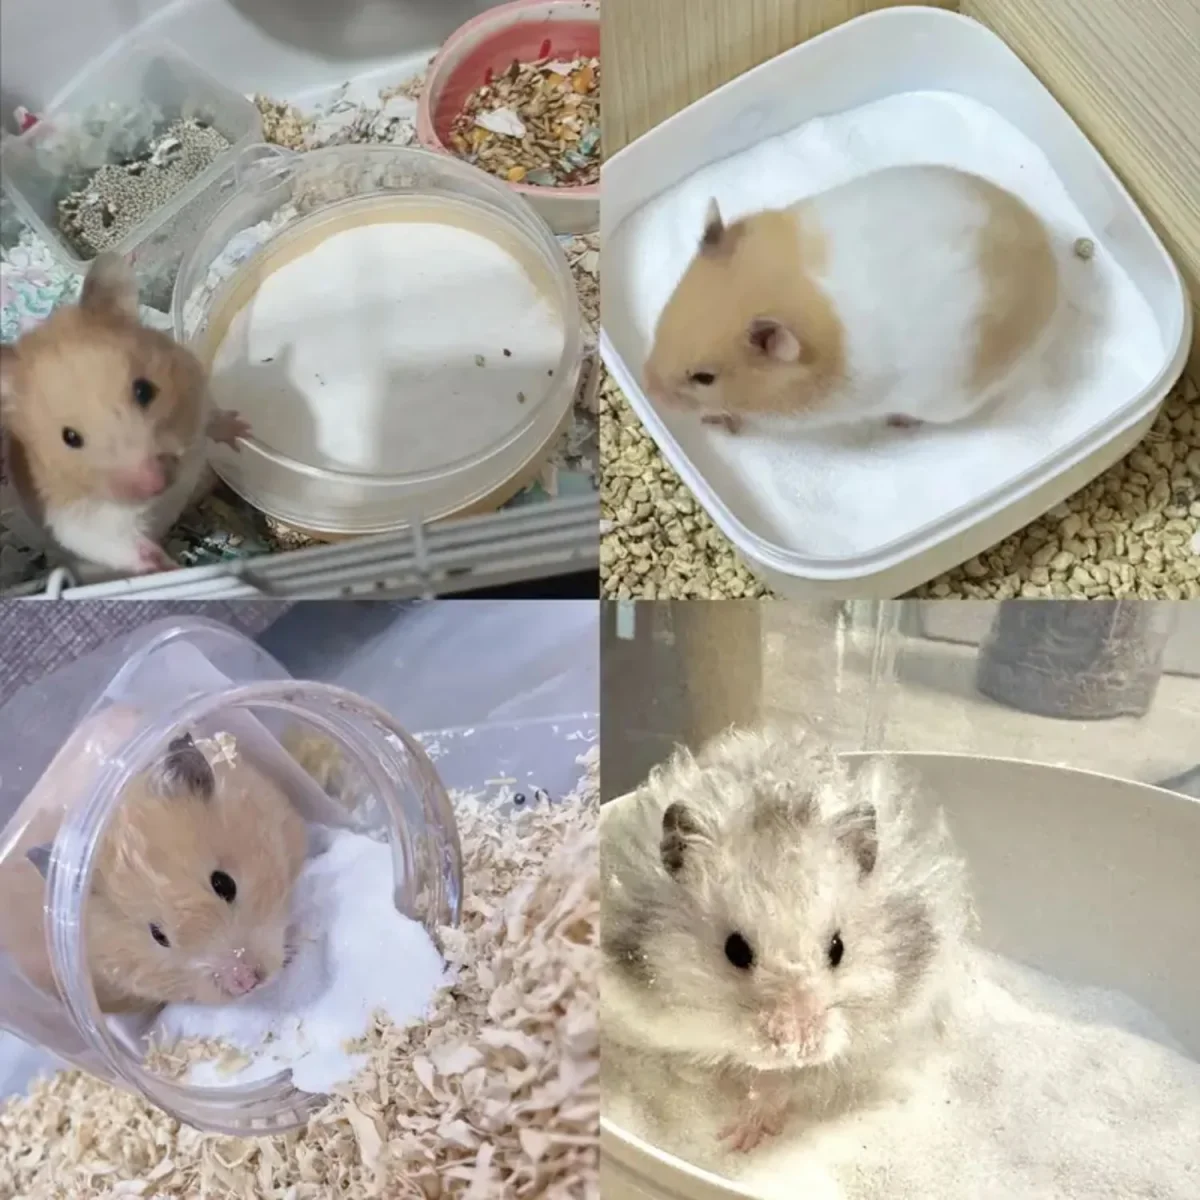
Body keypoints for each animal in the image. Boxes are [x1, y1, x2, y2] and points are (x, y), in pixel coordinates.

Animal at [0, 253, 251, 581]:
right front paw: (166, 566)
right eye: (70, 438)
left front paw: (243, 430)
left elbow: (211, 418)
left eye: (144, 391)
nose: (158, 483)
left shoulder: (195, 385)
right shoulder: (76, 521)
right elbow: (118, 545)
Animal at [601, 726, 970, 1157]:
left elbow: (782, 1083)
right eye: (735, 950)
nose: (799, 1047)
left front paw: (744, 1135)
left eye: (838, 948)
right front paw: (730, 1136)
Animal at [642, 165, 1061, 434]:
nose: (648, 390)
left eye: (704, 378)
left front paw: (716, 420)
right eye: (661, 320)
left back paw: (899, 422)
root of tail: (1051, 263)